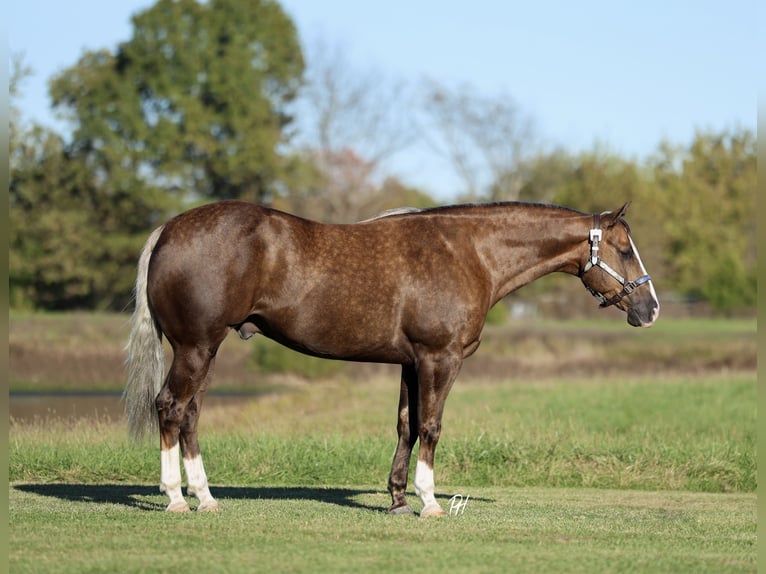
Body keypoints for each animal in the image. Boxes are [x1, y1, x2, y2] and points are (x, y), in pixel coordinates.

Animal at [124, 200, 659, 516]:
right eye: (624, 249)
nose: (649, 308)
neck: (469, 252)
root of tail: (168, 229)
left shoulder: (410, 362)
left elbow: (407, 424)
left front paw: (399, 499)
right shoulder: (440, 359)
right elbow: (432, 426)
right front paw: (430, 501)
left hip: (207, 349)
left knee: (191, 414)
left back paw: (206, 498)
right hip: (196, 347)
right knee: (170, 408)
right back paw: (175, 498)